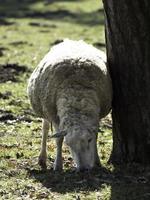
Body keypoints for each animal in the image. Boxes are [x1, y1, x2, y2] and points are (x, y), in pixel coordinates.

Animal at [27, 39, 112, 172]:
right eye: (69, 144)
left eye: (89, 140)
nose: (83, 169)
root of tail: (71, 40)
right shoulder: (54, 116)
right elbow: (58, 140)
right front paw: (58, 165)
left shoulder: (96, 116)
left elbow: (96, 136)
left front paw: (97, 161)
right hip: (46, 109)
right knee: (45, 128)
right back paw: (42, 158)